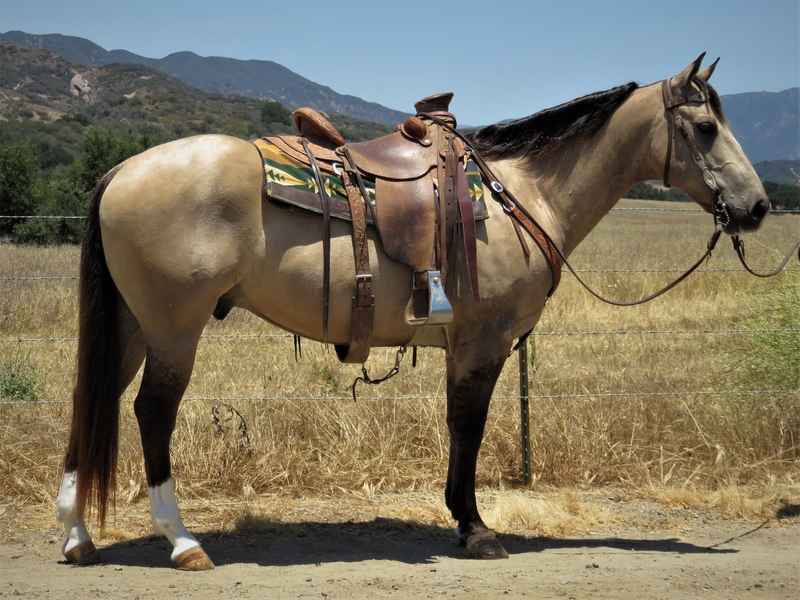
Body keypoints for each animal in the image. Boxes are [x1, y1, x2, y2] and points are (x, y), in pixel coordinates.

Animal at [56, 54, 769, 569]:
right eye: (706, 127)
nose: (759, 207)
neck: (523, 194)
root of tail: (121, 169)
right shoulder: (483, 340)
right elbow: (469, 427)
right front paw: (476, 528)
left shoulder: (464, 344)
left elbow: (458, 427)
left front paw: (462, 520)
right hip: (174, 328)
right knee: (152, 413)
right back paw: (183, 542)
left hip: (132, 327)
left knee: (94, 399)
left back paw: (76, 536)